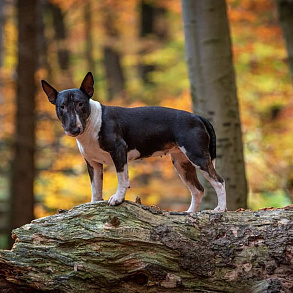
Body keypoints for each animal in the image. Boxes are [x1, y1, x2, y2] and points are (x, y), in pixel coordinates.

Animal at [41, 72, 226, 211]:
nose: (73, 129)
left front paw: (117, 199)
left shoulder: (119, 150)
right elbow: (96, 187)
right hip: (182, 163)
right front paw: (95, 205)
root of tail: (197, 117)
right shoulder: (93, 163)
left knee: (219, 181)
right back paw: (189, 214)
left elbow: (122, 178)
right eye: (62, 107)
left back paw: (220, 209)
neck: (92, 123)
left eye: (80, 104)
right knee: (198, 190)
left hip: (197, 156)